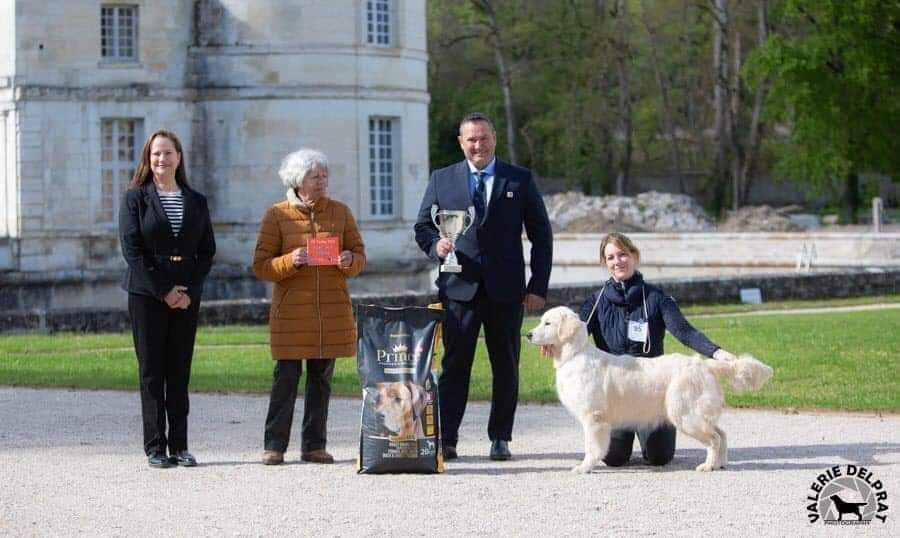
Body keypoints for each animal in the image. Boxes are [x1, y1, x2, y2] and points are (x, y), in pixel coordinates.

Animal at [528, 304, 772, 472]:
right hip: (696, 414)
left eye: (547, 323)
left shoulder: (594, 417)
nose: (528, 334)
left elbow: (592, 447)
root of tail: (703, 364)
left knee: (714, 438)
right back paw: (720, 464)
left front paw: (584, 467)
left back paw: (708, 466)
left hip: (685, 414)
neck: (574, 355)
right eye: (541, 322)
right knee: (721, 433)